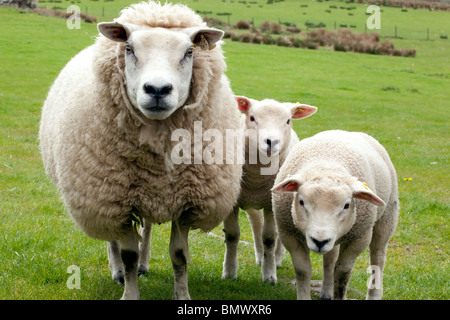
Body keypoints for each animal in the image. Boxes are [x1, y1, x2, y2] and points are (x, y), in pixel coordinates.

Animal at [38, 0, 243, 300]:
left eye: (189, 51)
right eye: (129, 49)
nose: (157, 89)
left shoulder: (186, 201)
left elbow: (179, 255)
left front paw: (182, 295)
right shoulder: (117, 201)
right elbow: (128, 256)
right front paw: (130, 291)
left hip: (145, 192)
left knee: (145, 229)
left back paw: (145, 264)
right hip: (104, 196)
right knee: (113, 239)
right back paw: (118, 272)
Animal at [221, 96, 316, 284]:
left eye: (288, 121)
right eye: (252, 118)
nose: (272, 142)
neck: (257, 176)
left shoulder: (271, 204)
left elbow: (270, 238)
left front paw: (270, 274)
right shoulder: (232, 202)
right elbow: (232, 235)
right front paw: (229, 272)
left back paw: (277, 259)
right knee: (256, 226)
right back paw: (259, 256)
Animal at [272, 130, 400, 300]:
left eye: (346, 205)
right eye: (301, 201)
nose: (320, 241)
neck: (327, 164)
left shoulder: (359, 238)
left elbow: (342, 273)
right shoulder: (289, 234)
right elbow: (303, 270)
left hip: (387, 217)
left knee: (378, 257)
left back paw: (374, 294)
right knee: (329, 260)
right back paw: (326, 291)